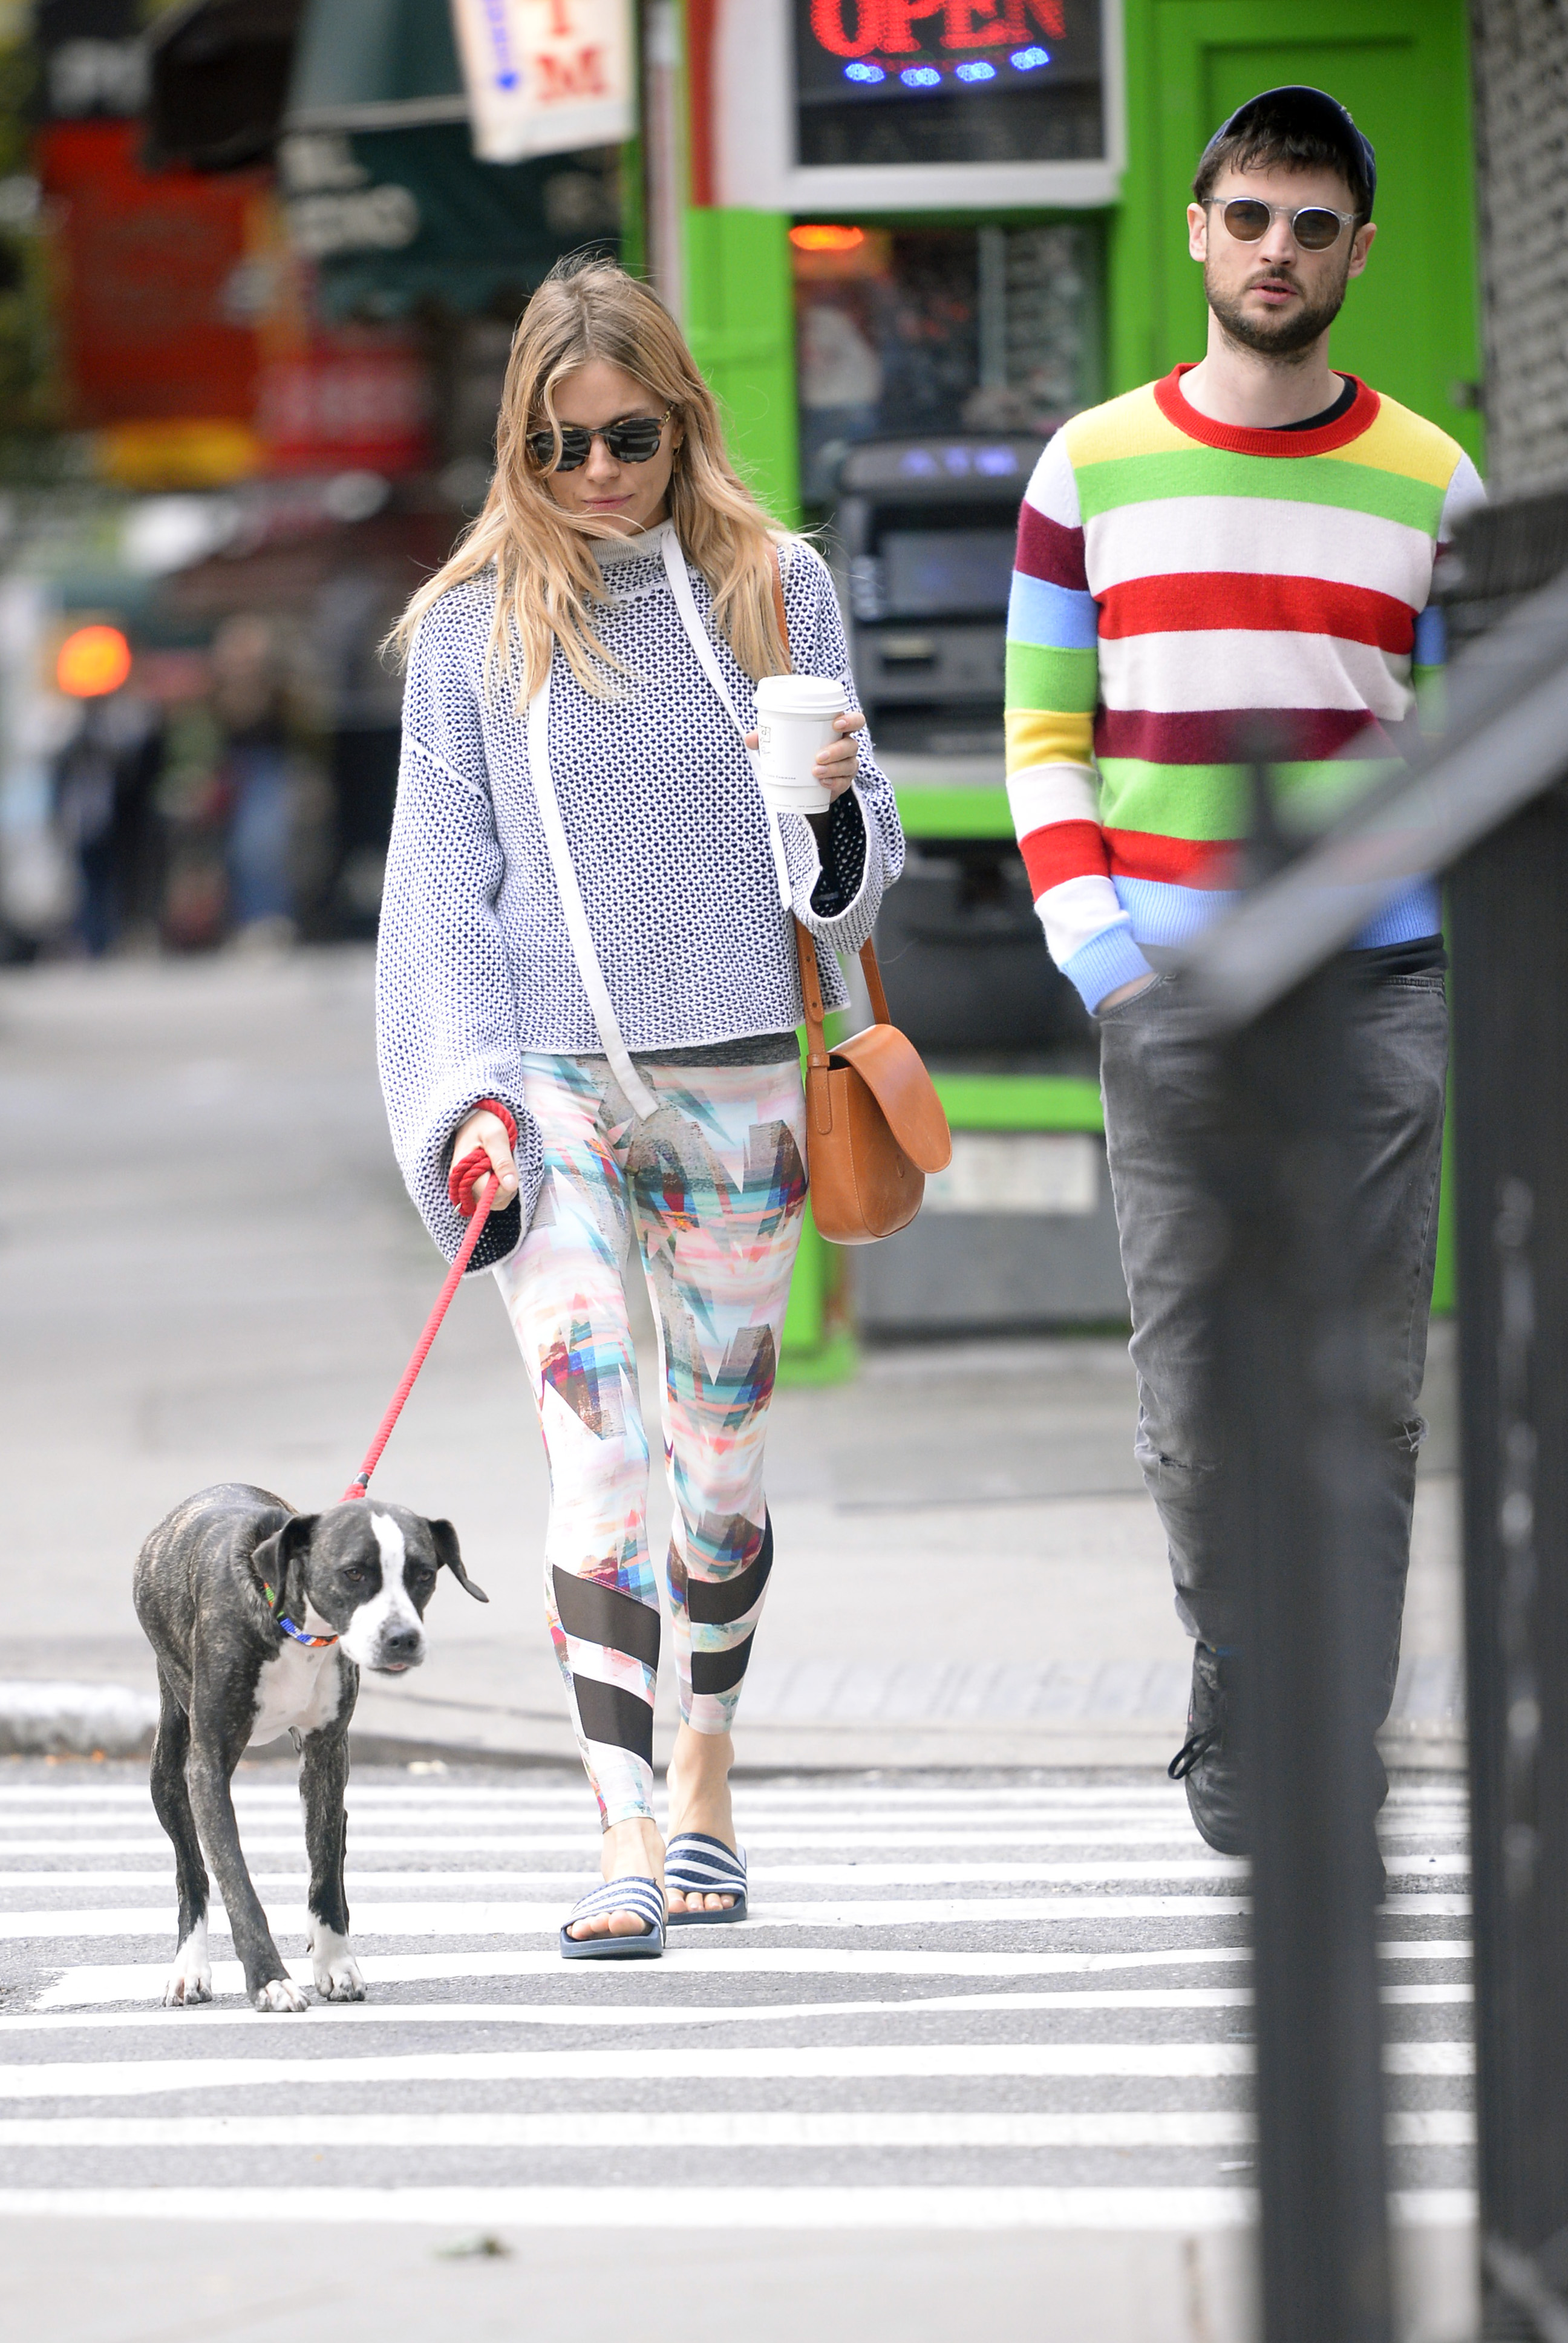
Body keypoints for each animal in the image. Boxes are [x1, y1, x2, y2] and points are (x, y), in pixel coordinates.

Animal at [134, 1483, 486, 2012]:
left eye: (424, 1574)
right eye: (354, 1572)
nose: (403, 1638)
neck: (292, 1623)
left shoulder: (327, 1753)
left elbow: (322, 1864)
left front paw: (335, 1961)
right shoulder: (209, 1766)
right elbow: (236, 1880)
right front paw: (269, 1980)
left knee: (336, 1834)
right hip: (170, 1760)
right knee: (191, 1870)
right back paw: (189, 1968)